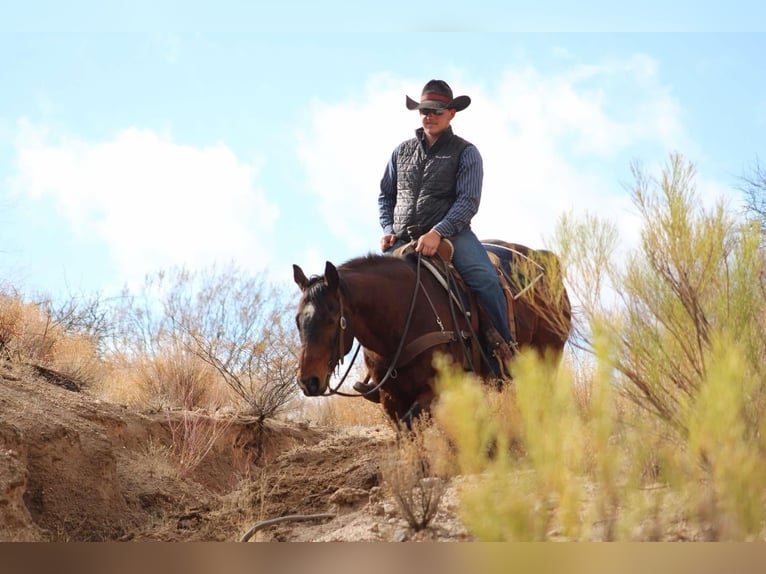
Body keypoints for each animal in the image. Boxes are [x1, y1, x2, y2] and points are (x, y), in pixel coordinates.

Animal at [294, 240, 576, 428]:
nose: (308, 381)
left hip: (548, 356)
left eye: (332, 320)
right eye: (298, 321)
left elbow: (413, 424)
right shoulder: (390, 397)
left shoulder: (436, 388)